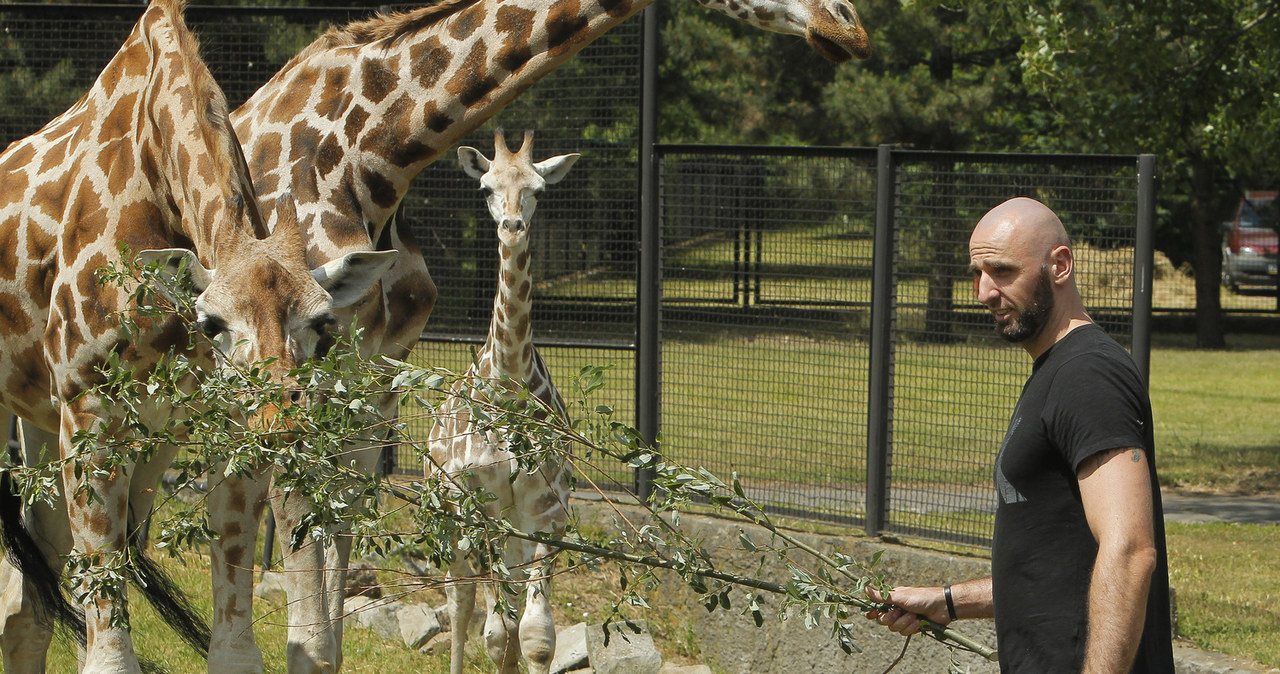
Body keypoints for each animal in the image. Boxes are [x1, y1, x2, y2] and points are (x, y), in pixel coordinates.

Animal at [0, 1, 394, 674]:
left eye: (322, 323)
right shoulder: (88, 410)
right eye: (212, 322)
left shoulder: (219, 426)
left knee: (28, 600)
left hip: (63, 426)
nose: (279, 421)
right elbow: (109, 653)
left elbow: (233, 646)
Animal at [430, 130, 581, 674]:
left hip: (513, 526)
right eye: (486, 188)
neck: (510, 379)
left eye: (538, 189)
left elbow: (535, 633)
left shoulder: (547, 510)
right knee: (459, 598)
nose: (512, 226)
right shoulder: (480, 503)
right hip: (449, 512)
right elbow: (497, 630)